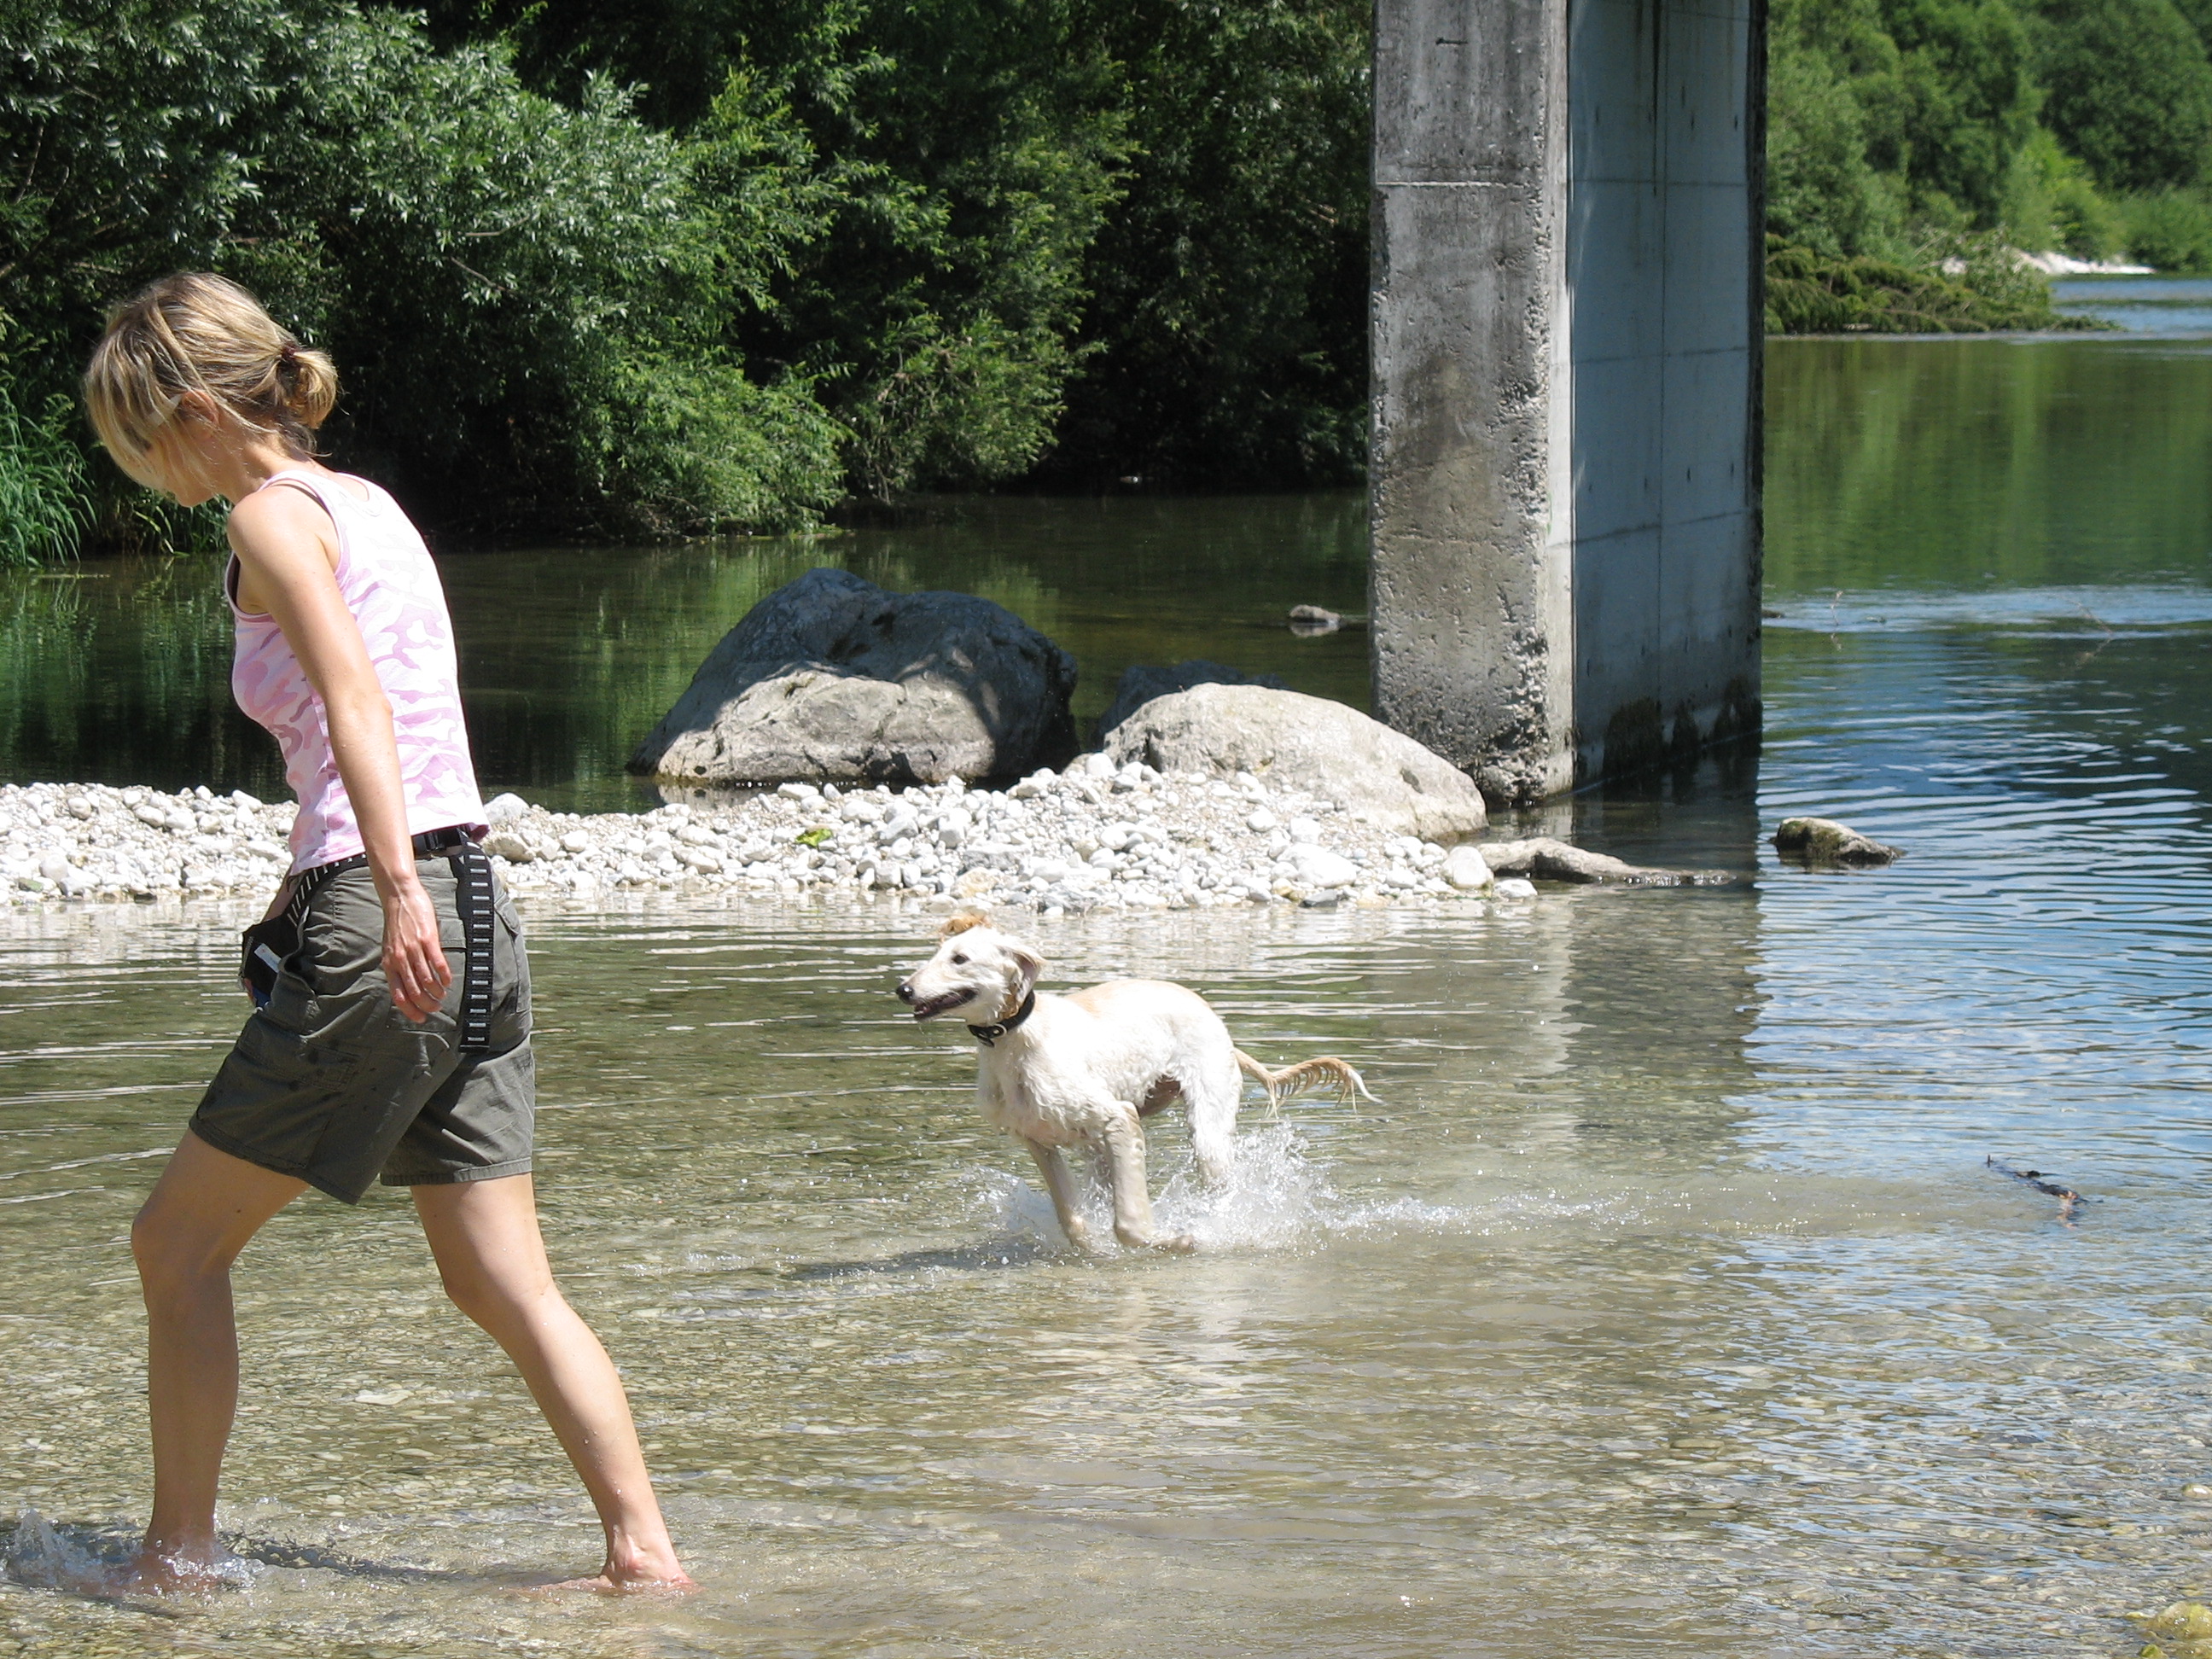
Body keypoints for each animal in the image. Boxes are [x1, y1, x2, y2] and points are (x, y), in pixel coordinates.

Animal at [896, 910, 1372, 1253]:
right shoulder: (1038, 1140)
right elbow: (1073, 1220)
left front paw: (1172, 1240)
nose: (903, 989)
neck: (1019, 1040)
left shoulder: (1120, 1119)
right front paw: (1090, 1248)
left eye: (959, 959)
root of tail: (1218, 1024)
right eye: (934, 955)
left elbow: (1128, 1224)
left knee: (1218, 1178)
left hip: (1207, 1128)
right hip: (1101, 1145)